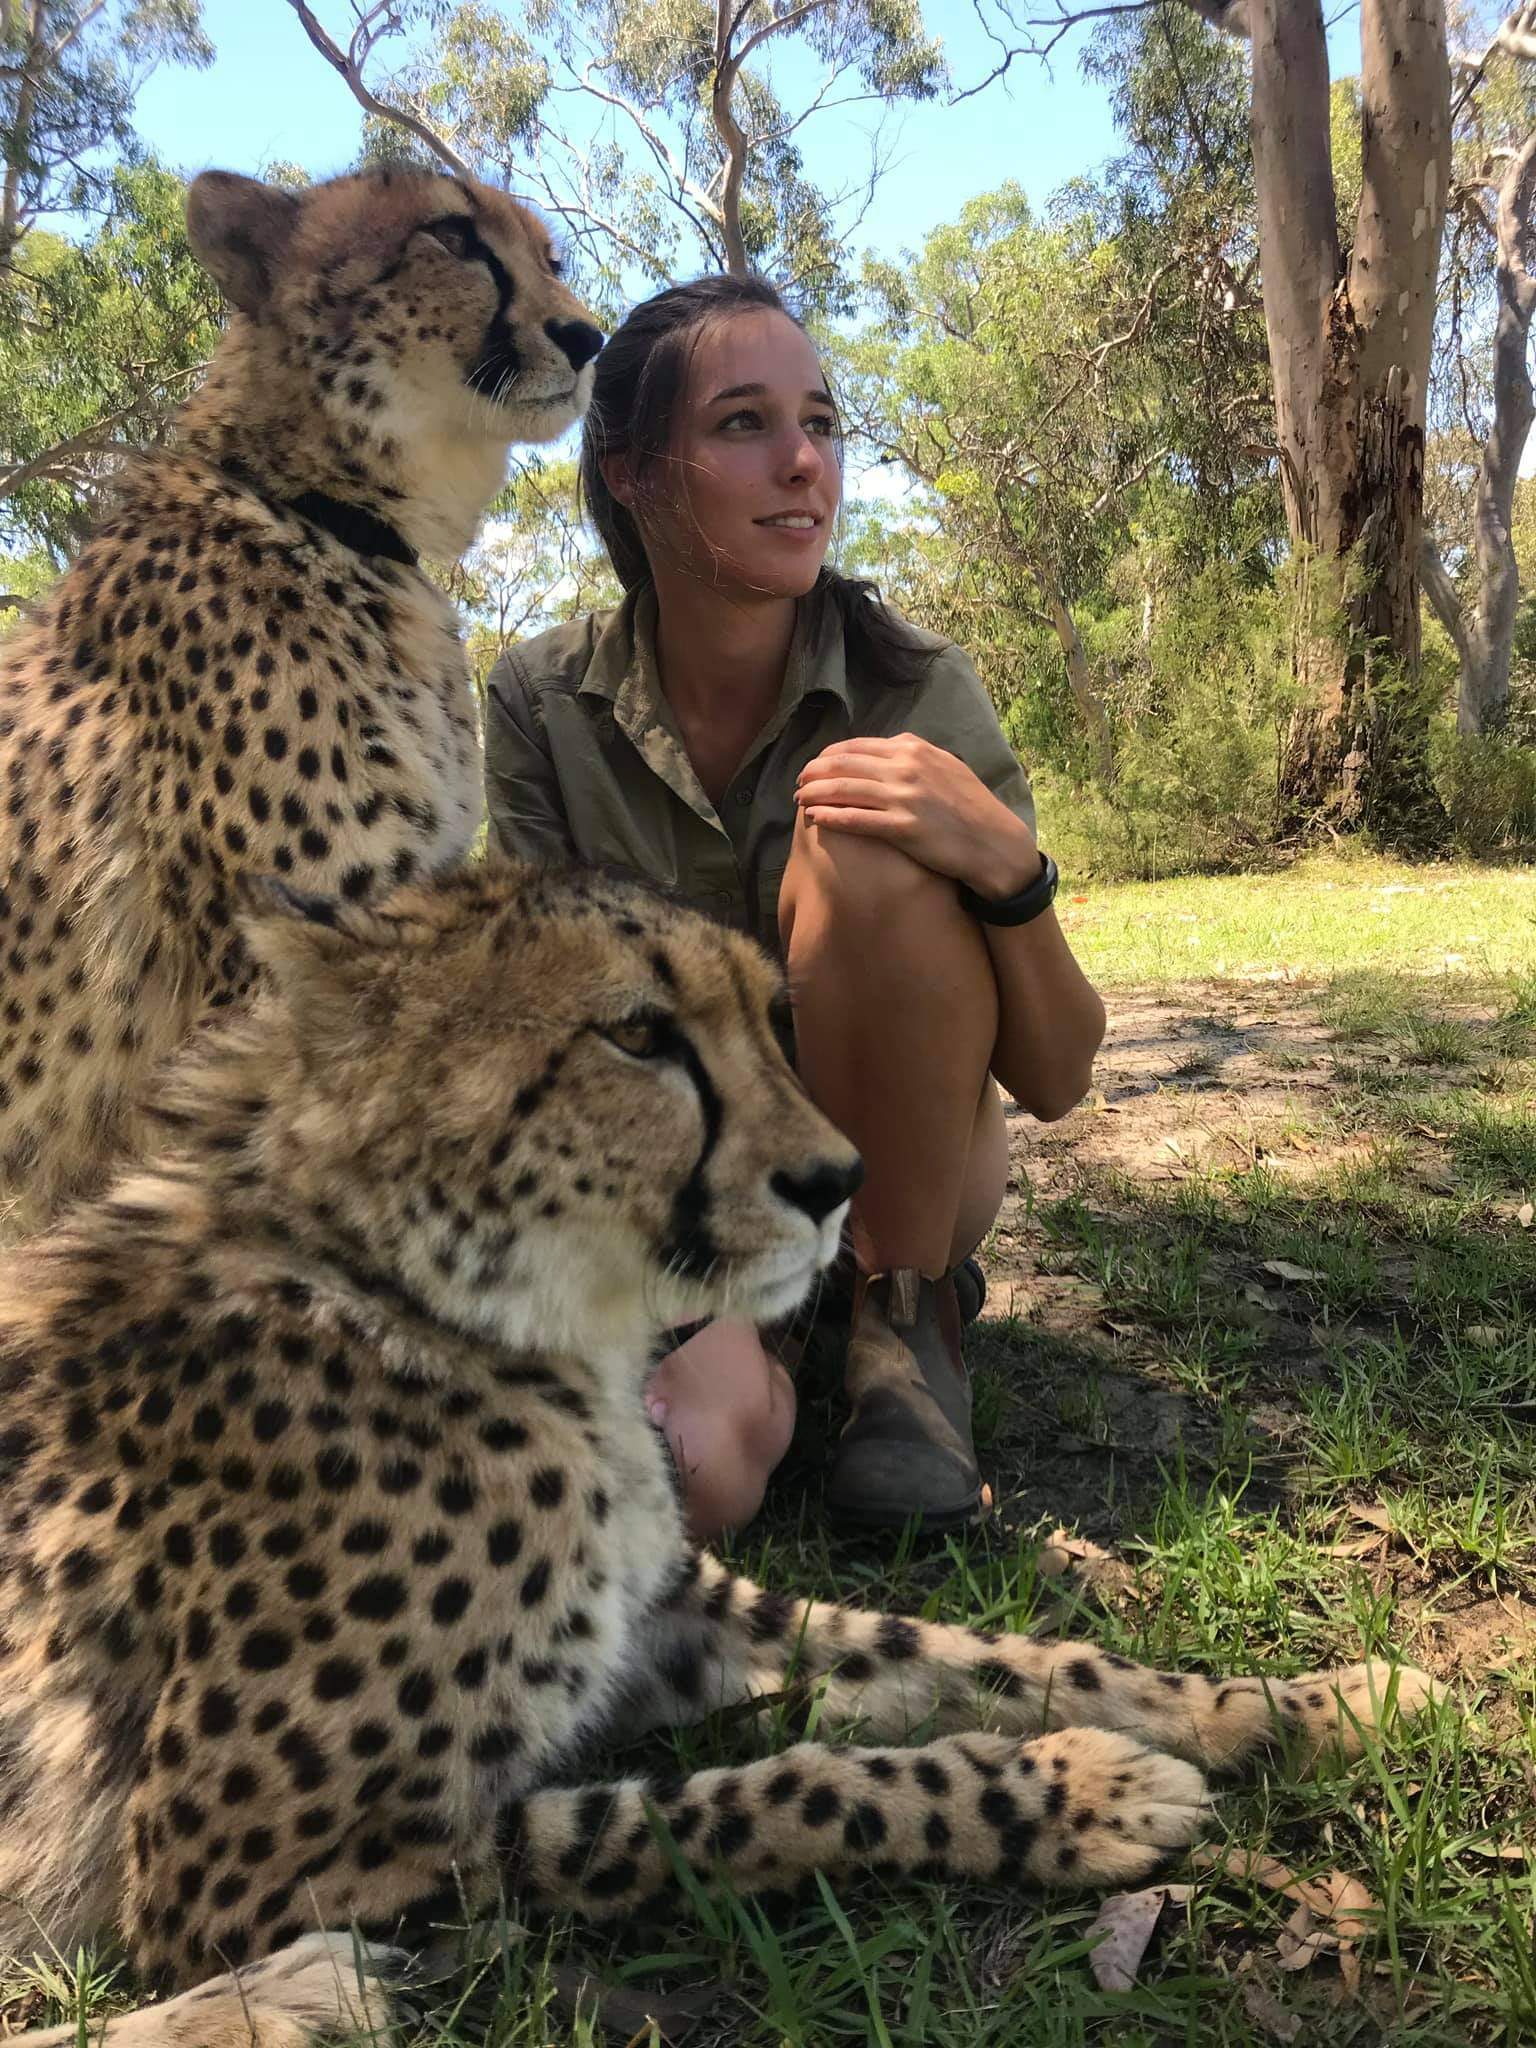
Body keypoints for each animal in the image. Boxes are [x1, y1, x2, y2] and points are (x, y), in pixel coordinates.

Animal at [0, 856, 1441, 2039]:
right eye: (640, 1033)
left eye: (769, 1015)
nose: (840, 1179)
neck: (447, 1299)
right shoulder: (242, 1870)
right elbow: (736, 1799)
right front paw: (1074, 1791)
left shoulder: (669, 1610)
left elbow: (986, 1652)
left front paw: (1296, 1703)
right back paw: (293, 1999)